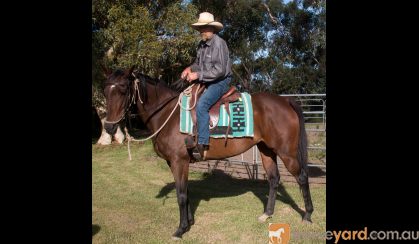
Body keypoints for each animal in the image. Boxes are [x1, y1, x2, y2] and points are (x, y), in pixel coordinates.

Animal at [103, 67, 314, 239]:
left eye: (124, 88)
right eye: (105, 91)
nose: (109, 127)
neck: (168, 114)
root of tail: (284, 100)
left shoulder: (179, 161)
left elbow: (181, 195)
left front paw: (180, 229)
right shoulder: (175, 163)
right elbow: (185, 191)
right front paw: (189, 222)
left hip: (287, 153)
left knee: (302, 177)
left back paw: (308, 215)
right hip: (266, 150)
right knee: (274, 179)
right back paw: (267, 214)